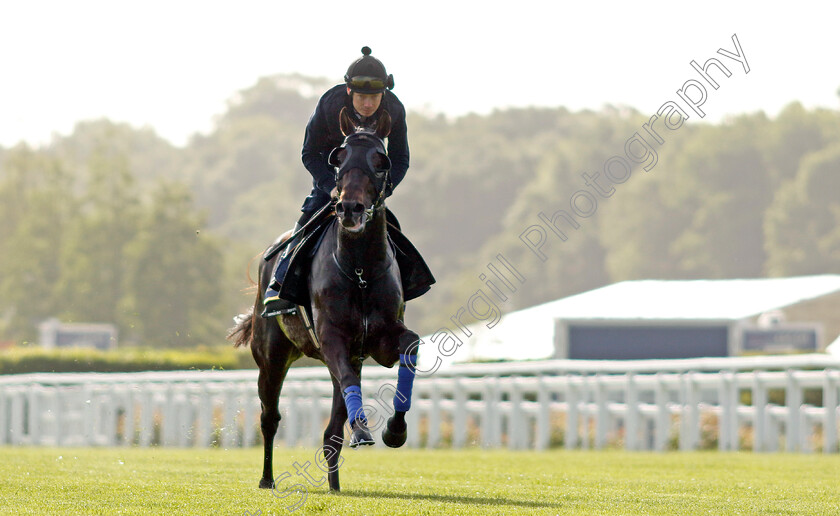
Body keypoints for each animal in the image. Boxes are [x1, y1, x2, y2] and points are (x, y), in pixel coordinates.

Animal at [228, 109, 420, 492]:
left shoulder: (379, 339)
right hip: (271, 356)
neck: (359, 268)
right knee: (270, 417)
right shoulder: (332, 337)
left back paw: (334, 484)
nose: (350, 208)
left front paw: (395, 431)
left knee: (332, 430)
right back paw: (267, 479)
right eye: (339, 158)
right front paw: (363, 431)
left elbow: (411, 344)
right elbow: (345, 380)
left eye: (381, 161)